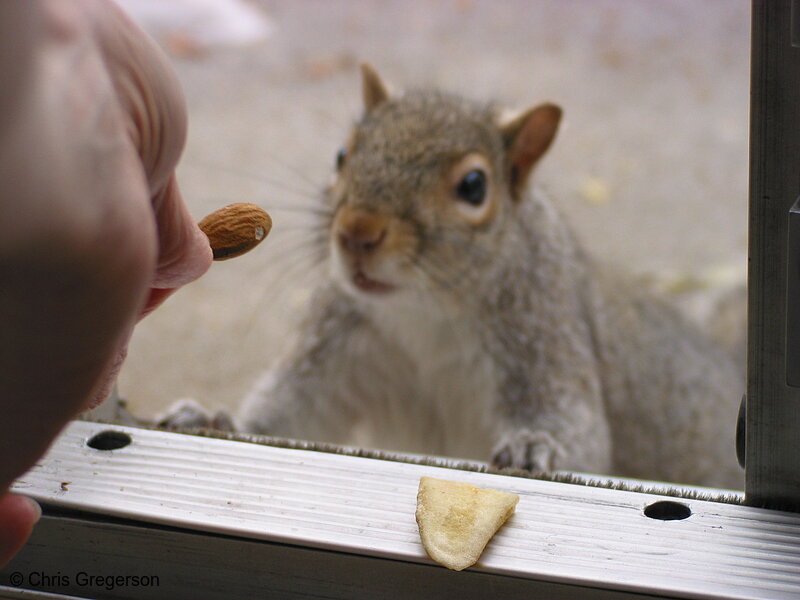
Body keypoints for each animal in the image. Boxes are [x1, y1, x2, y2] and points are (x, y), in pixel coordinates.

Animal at [164, 64, 744, 488]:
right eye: (342, 154)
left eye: (473, 186)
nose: (357, 232)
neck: (424, 308)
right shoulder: (335, 349)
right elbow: (290, 413)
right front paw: (213, 420)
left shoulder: (548, 338)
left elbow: (578, 430)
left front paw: (533, 446)